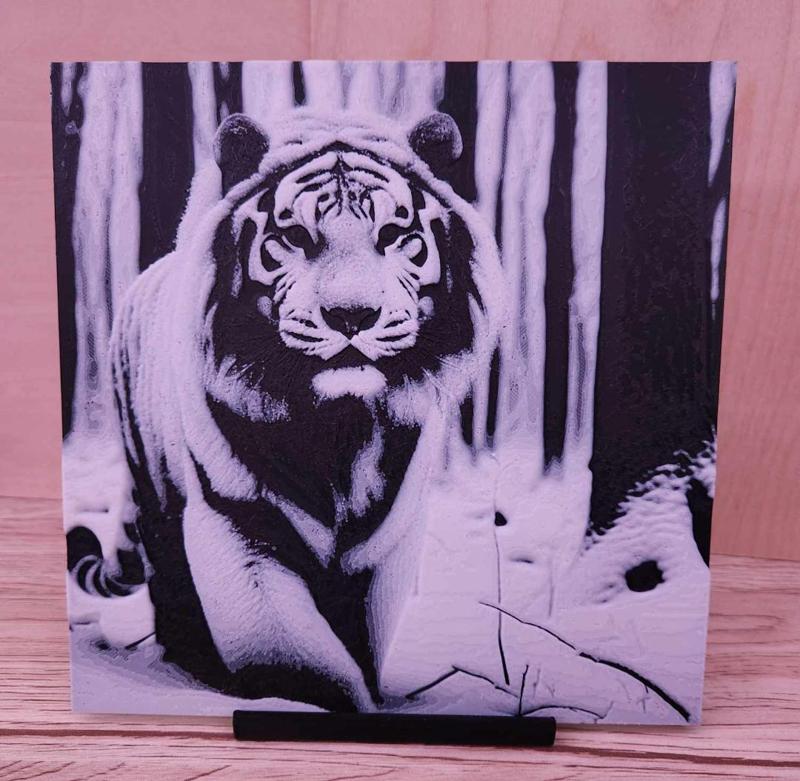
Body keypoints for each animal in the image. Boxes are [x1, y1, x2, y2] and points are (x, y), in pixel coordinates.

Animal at [67, 109, 503, 712]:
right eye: (295, 236)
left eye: (393, 236)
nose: (351, 315)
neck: (337, 427)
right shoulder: (238, 521)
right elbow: (298, 655)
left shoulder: (385, 538)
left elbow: (361, 637)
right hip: (153, 492)